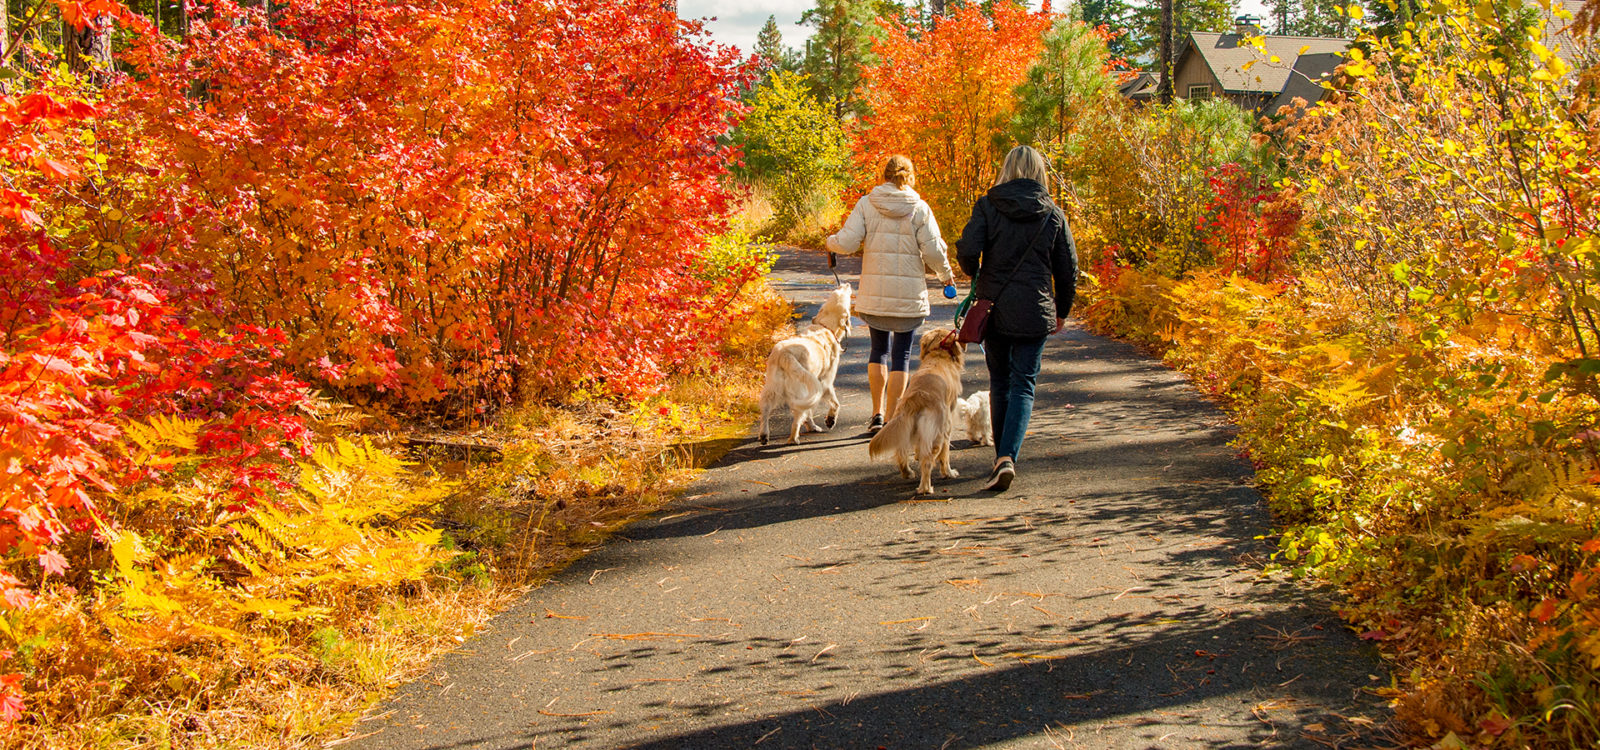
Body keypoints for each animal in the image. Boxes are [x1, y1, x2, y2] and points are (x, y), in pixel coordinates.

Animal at [758, 281, 857, 444]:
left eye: (836, 291)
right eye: (846, 298)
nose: (846, 284)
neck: (826, 327)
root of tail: (785, 355)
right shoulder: (825, 382)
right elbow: (836, 403)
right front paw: (830, 420)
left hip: (773, 389)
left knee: (765, 410)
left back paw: (765, 435)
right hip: (804, 391)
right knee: (797, 418)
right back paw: (794, 438)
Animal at [870, 326, 966, 492]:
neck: (939, 354)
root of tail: (917, 397)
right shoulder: (947, 426)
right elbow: (945, 454)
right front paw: (949, 472)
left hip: (902, 423)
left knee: (901, 451)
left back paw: (907, 472)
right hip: (937, 431)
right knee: (928, 460)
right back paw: (926, 488)